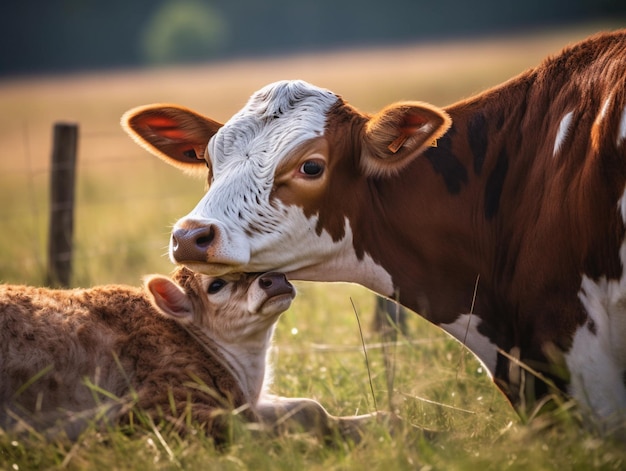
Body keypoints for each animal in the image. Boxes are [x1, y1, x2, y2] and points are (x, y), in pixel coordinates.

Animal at [1, 268, 380, 444]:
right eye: (216, 285)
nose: (275, 279)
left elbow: (310, 409)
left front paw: (384, 421)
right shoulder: (156, 408)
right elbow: (241, 430)